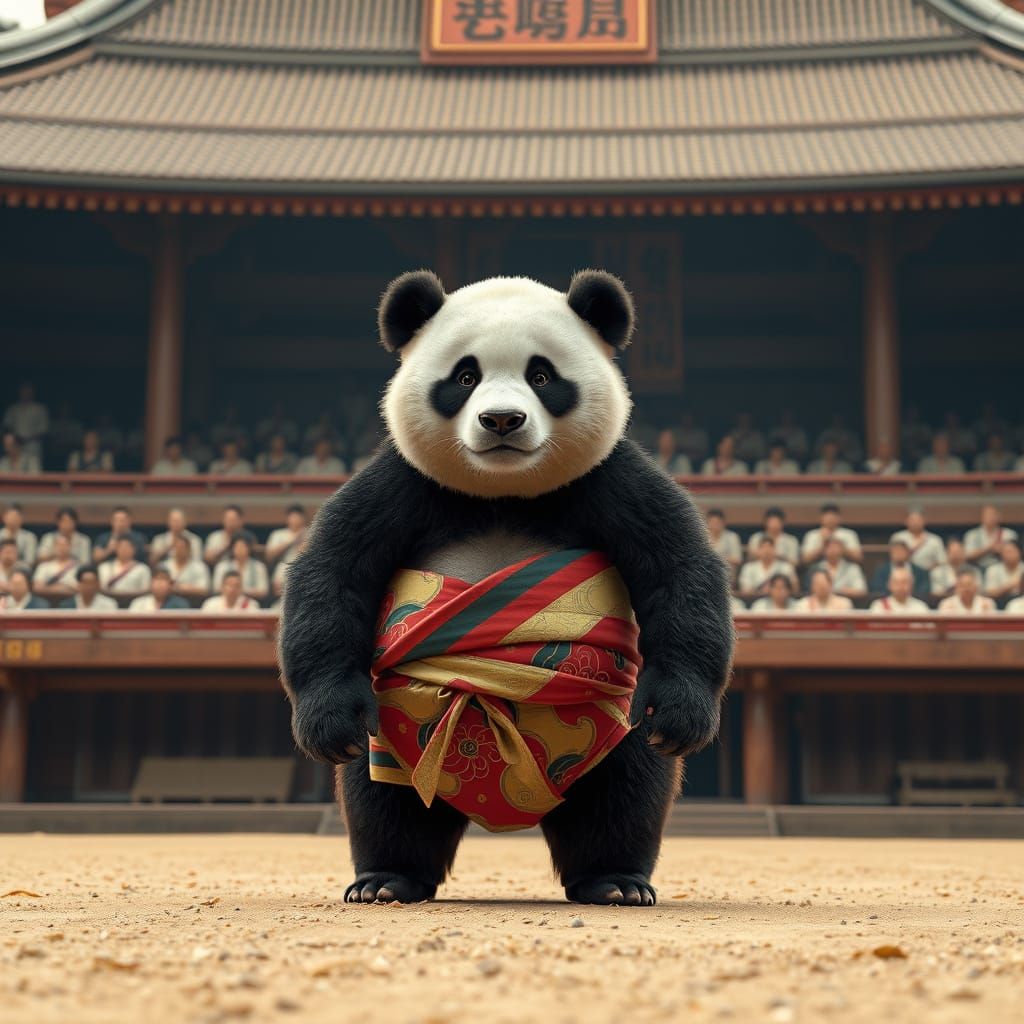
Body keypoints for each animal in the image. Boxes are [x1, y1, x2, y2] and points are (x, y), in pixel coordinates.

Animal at [279, 269, 734, 906]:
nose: (500, 420)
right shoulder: (403, 483)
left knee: (626, 794)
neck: (504, 493)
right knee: (384, 803)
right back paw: (387, 880)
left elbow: (681, 571)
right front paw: (327, 722)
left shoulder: (611, 480)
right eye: (464, 377)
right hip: (393, 733)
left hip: (611, 725)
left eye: (541, 376)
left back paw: (615, 881)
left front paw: (681, 714)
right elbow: (332, 574)